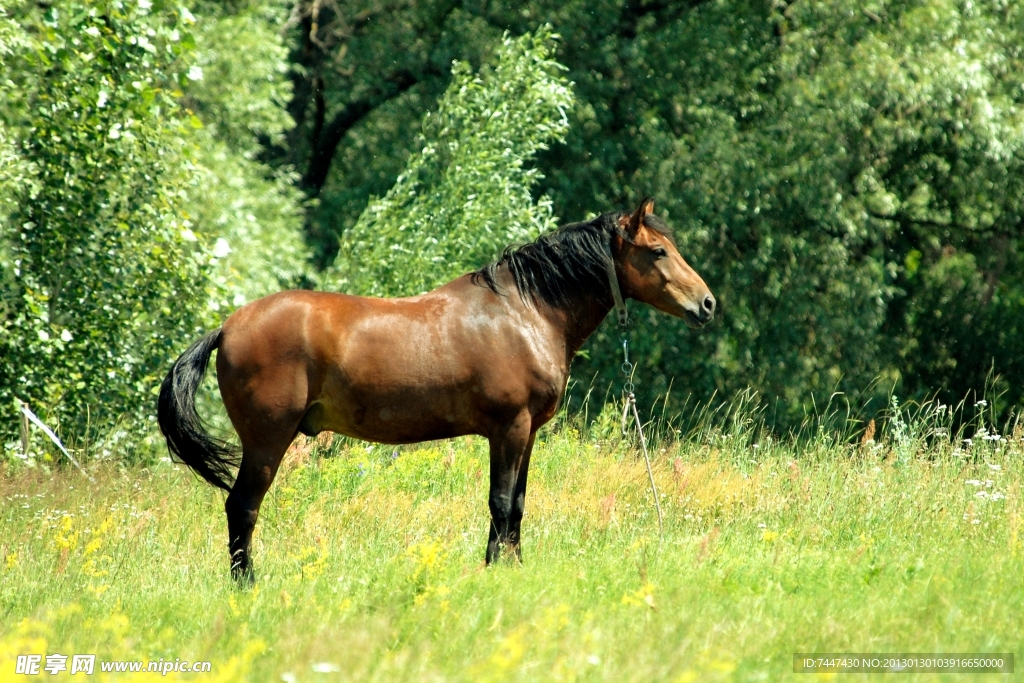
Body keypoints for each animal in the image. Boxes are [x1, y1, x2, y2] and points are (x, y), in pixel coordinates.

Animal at [157, 197, 712, 581]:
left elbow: (518, 504)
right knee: (242, 508)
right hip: (267, 442)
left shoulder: (528, 433)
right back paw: (247, 585)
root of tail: (227, 327)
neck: (526, 311)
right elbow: (501, 503)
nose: (706, 304)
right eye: (659, 251)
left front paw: (514, 567)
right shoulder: (509, 429)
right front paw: (494, 570)